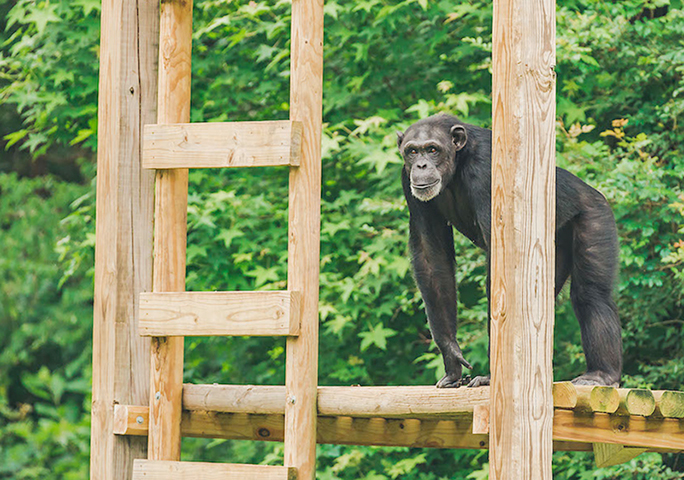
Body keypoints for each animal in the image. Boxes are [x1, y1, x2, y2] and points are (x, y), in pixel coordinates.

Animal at [398, 113, 624, 390]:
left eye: (432, 149)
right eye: (412, 151)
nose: (420, 165)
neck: (458, 163)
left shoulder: (486, 172)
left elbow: (498, 260)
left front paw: (492, 375)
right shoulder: (408, 182)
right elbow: (432, 257)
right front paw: (451, 359)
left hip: (595, 215)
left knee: (591, 294)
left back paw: (602, 374)